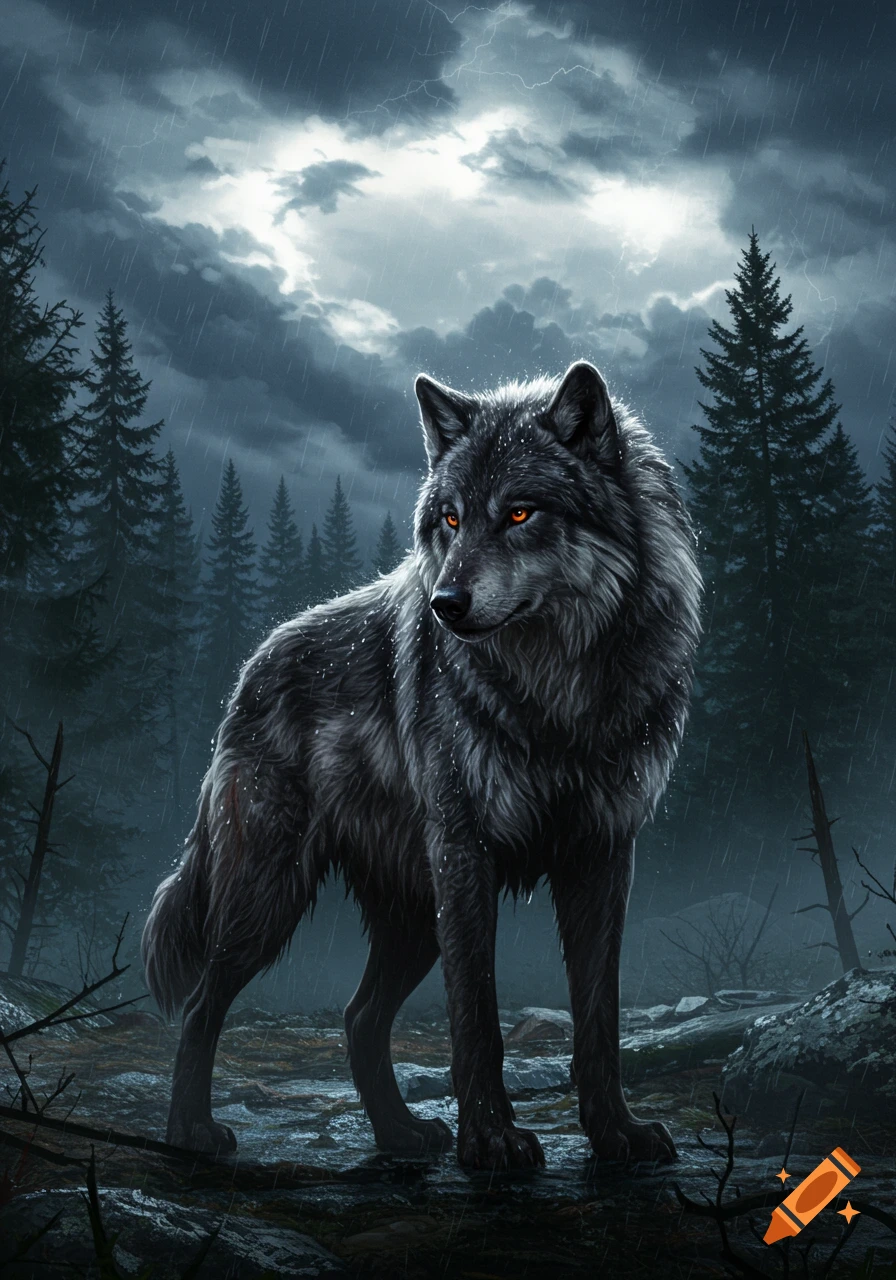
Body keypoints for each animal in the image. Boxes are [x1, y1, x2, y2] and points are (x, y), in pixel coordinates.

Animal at [142, 360, 701, 1170]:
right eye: (452, 520)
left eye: (520, 514)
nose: (445, 603)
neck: (558, 696)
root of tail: (251, 666)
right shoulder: (466, 850)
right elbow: (478, 1018)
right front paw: (492, 1139)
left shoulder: (602, 854)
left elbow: (599, 1018)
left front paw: (616, 1134)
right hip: (272, 896)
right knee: (200, 1004)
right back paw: (191, 1133)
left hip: (410, 920)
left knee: (357, 1017)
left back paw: (401, 1136)